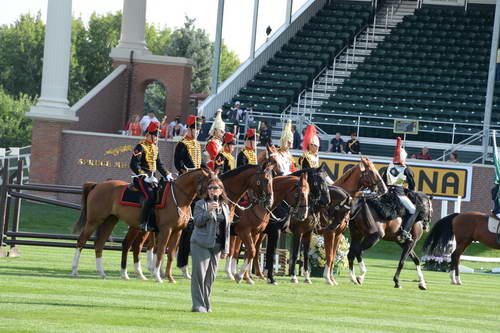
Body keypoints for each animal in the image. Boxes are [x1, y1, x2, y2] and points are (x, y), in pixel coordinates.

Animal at [70, 167, 213, 282]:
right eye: (211, 185)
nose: (213, 200)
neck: (177, 197)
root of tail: (98, 185)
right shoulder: (166, 229)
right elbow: (160, 251)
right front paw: (158, 276)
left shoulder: (177, 230)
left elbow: (170, 254)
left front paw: (170, 277)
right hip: (94, 220)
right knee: (81, 241)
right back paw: (75, 270)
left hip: (111, 221)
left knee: (100, 244)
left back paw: (103, 273)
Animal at [121, 161, 278, 280]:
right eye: (265, 180)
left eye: (272, 180)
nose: (269, 201)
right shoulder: (241, 231)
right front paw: (239, 275)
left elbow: (239, 251)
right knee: (138, 245)